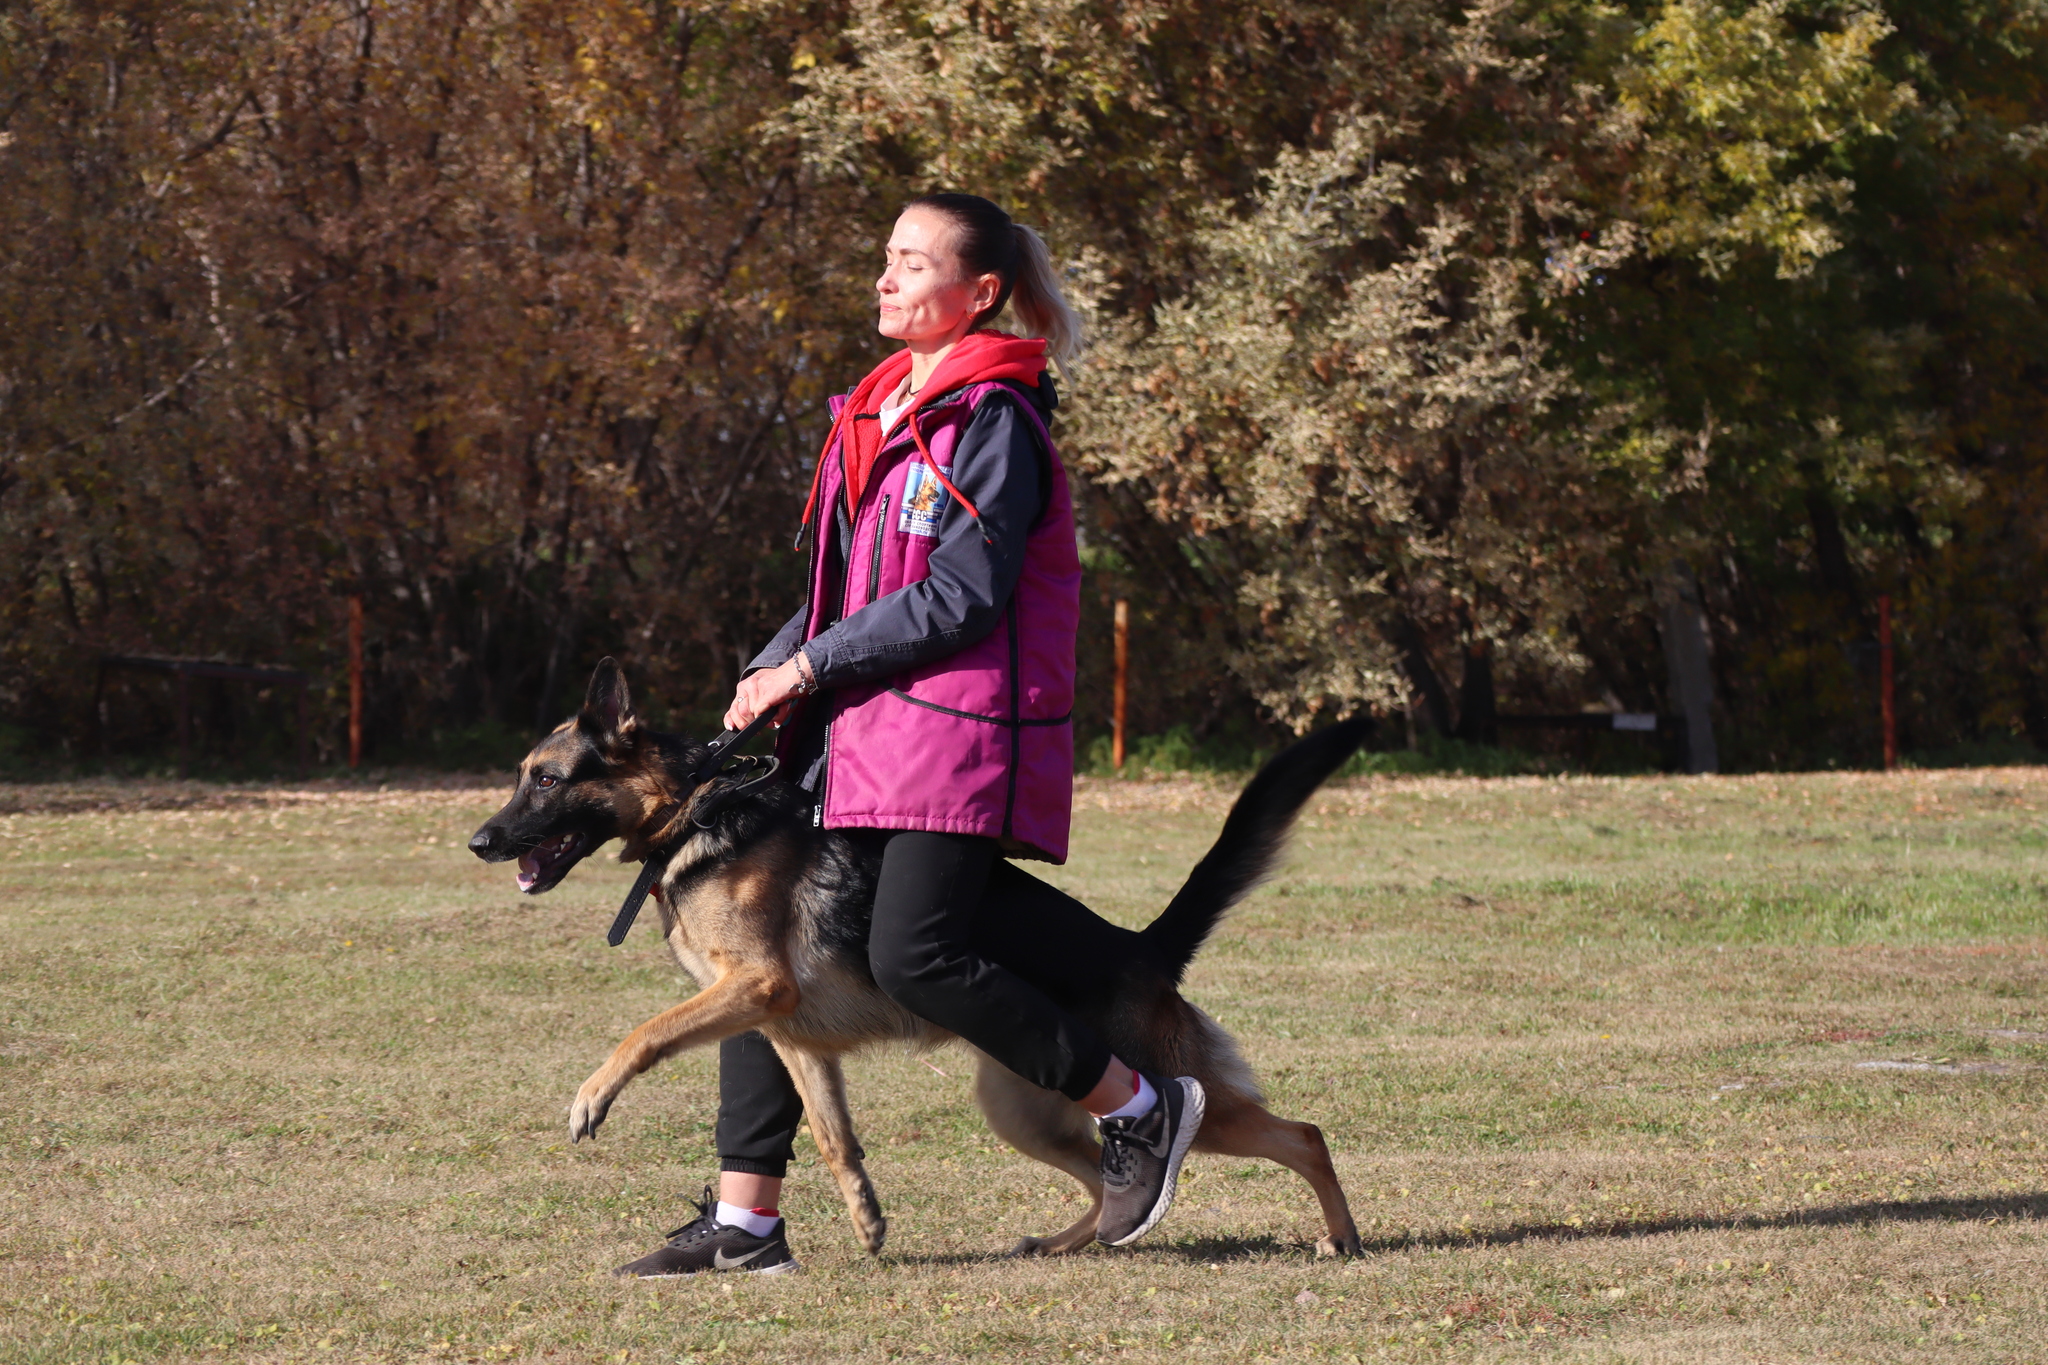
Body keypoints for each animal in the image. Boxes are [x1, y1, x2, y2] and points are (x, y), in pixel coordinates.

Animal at [464, 663, 1359, 1260]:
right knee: (1105, 1176)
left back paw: (1342, 1237)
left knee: (1301, 1134)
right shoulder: (788, 1032)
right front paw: (861, 1217)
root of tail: (1143, 944)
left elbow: (643, 1032)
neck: (694, 811)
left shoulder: (753, 986)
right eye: (521, 778)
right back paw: (1070, 1240)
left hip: (1167, 1097)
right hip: (1022, 1108)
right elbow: (833, 1139)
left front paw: (591, 1096)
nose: (478, 840)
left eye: (547, 781)